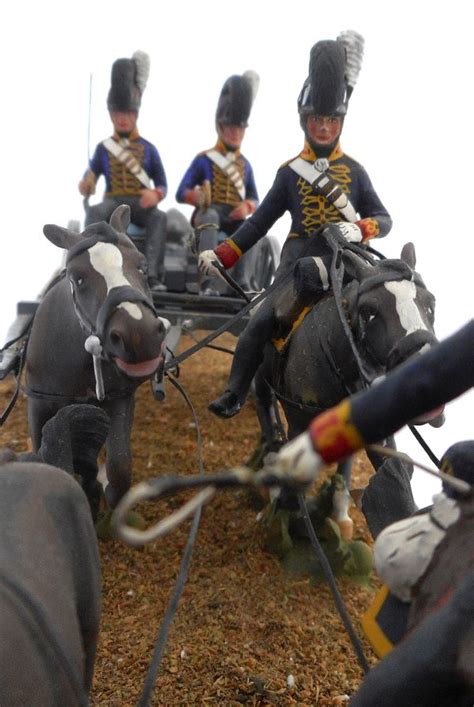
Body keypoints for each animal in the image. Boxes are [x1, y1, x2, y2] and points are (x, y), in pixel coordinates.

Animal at [25, 205, 168, 508]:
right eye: (77, 278)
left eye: (142, 266)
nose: (140, 335)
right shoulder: (38, 404)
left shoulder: (119, 399)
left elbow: (119, 465)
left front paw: (105, 495)